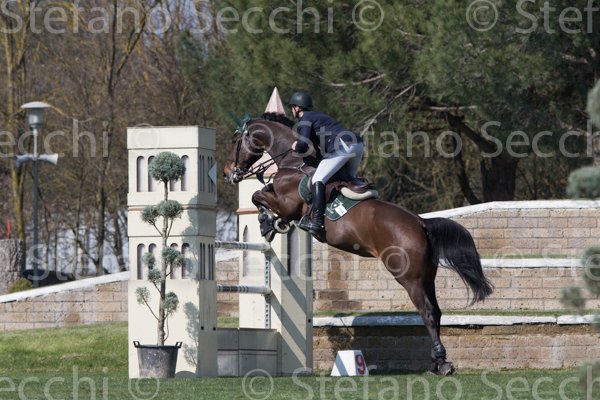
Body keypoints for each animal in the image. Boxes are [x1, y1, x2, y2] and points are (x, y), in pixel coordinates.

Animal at [223, 113, 493, 375]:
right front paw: (269, 221)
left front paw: (267, 222)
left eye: (236, 141)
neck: (292, 163)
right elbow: (260, 194)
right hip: (427, 276)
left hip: (409, 277)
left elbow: (257, 196)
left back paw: (440, 361)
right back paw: (437, 363)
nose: (228, 172)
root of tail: (420, 222)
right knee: (436, 312)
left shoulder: (288, 205)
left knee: (426, 311)